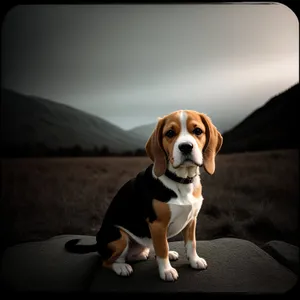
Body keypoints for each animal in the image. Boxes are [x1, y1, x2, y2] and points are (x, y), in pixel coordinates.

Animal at [64, 109, 223, 282]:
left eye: (198, 131)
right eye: (170, 133)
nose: (186, 147)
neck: (181, 180)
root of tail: (98, 242)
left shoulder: (191, 220)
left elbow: (191, 243)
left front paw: (194, 261)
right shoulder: (157, 225)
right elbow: (162, 248)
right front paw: (166, 271)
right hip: (119, 237)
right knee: (106, 261)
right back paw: (121, 267)